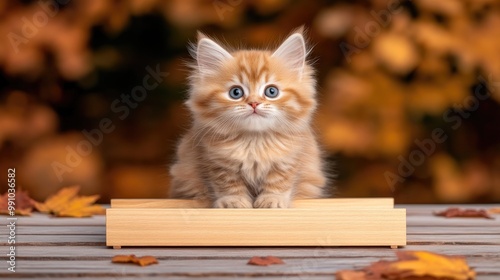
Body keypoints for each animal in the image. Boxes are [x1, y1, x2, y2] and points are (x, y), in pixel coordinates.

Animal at [170, 28, 330, 208]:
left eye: (271, 91)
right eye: (236, 92)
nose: (254, 103)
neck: (254, 141)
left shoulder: (290, 159)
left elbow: (280, 179)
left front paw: (273, 199)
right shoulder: (213, 161)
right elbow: (226, 182)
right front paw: (233, 201)